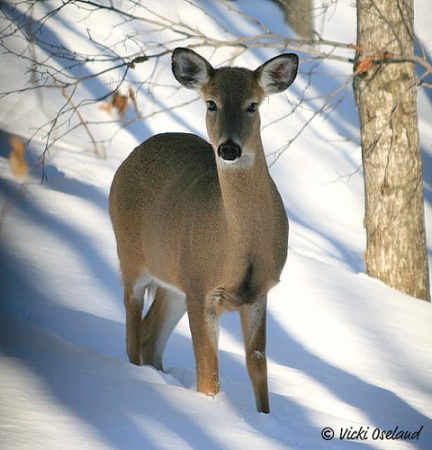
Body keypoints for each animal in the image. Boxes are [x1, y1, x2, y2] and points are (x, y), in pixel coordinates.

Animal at [109, 47, 296, 414]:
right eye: (212, 103)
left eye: (253, 104)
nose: (228, 148)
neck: (237, 249)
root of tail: (133, 154)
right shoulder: (202, 289)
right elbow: (209, 375)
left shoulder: (258, 292)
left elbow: (258, 369)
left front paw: (264, 419)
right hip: (131, 255)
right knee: (133, 333)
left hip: (175, 281)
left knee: (150, 335)